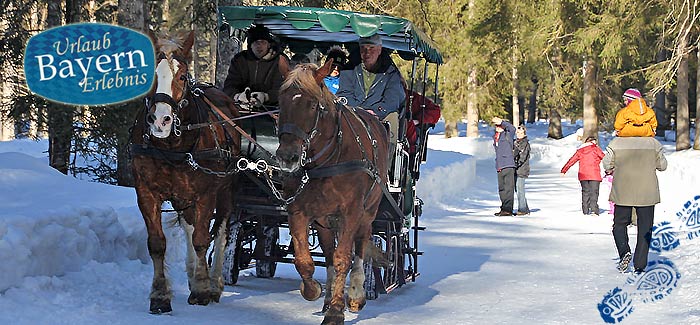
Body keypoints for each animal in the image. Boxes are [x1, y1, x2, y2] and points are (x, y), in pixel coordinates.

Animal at [129, 31, 241, 314]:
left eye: (181, 76)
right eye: (151, 75)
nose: (160, 121)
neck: (172, 146)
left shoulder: (206, 193)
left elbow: (203, 239)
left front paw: (202, 289)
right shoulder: (146, 192)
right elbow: (158, 243)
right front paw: (160, 295)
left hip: (226, 189)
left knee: (221, 232)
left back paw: (214, 282)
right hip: (183, 196)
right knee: (189, 226)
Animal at [276, 59, 388, 322]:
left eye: (312, 105)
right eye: (281, 101)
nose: (287, 157)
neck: (325, 161)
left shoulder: (351, 212)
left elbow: (343, 259)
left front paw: (337, 311)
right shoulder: (298, 211)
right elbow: (304, 260)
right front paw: (314, 290)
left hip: (368, 212)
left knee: (360, 246)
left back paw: (355, 294)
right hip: (324, 221)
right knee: (327, 253)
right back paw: (327, 298)